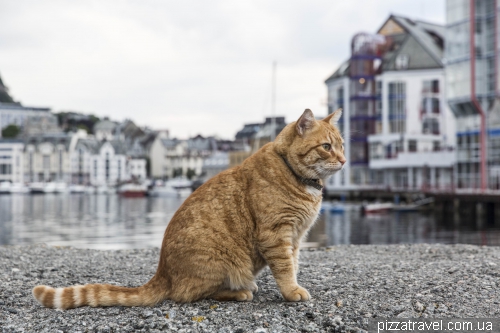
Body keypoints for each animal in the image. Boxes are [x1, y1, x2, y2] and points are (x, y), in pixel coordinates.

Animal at [32, 107, 344, 308]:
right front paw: (291, 291)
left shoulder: (296, 237)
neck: (294, 174)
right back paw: (240, 291)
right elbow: (285, 267)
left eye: (342, 145)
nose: (343, 160)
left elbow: (294, 263)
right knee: (190, 294)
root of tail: (162, 274)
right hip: (224, 260)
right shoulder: (277, 234)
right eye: (326, 147)